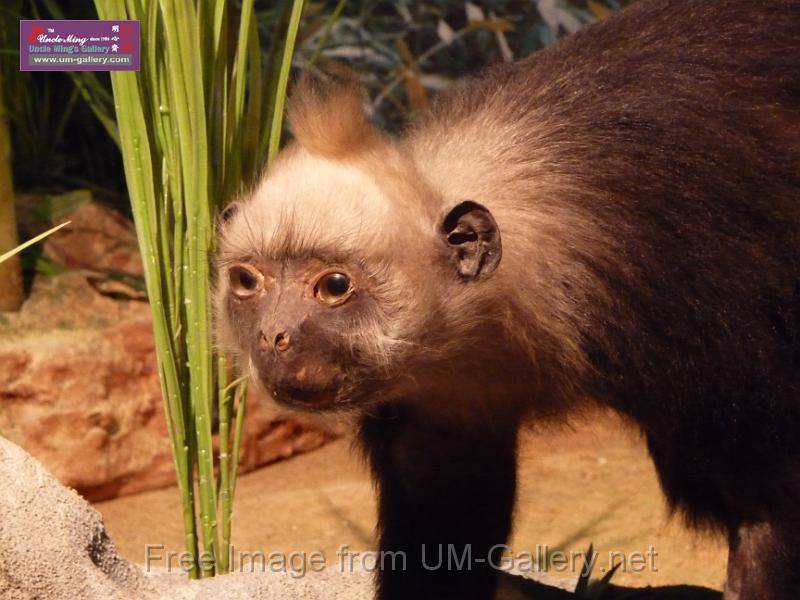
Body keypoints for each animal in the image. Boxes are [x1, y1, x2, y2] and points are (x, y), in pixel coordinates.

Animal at [214, 0, 800, 598]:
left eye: (334, 286)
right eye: (247, 282)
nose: (273, 335)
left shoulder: (702, 318)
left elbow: (769, 512)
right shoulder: (446, 403)